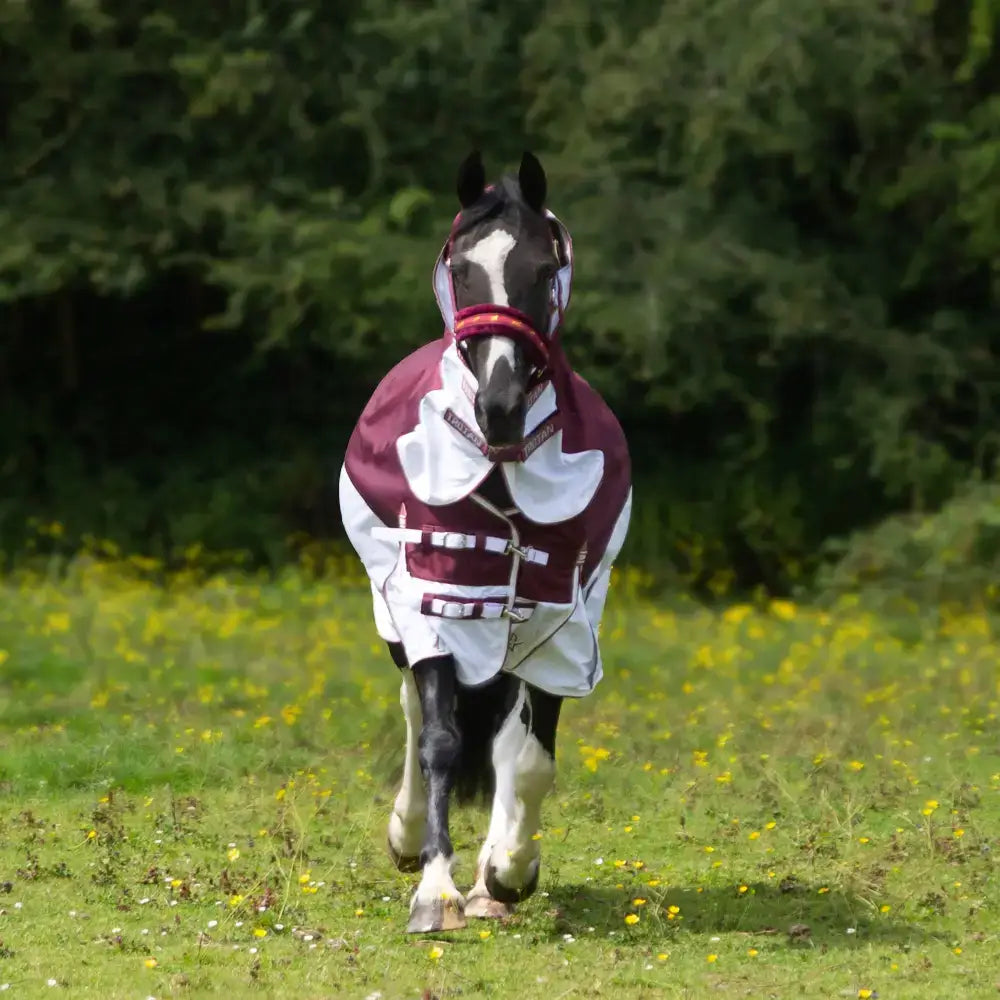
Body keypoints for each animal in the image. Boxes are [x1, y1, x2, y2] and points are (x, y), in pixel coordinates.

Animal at [339, 151, 632, 934]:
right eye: (465, 267)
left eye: (542, 267)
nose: (498, 408)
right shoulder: (437, 601)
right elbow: (441, 738)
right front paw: (435, 888)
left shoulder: (562, 615)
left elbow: (527, 755)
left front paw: (505, 872)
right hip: (399, 615)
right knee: (417, 713)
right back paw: (409, 834)